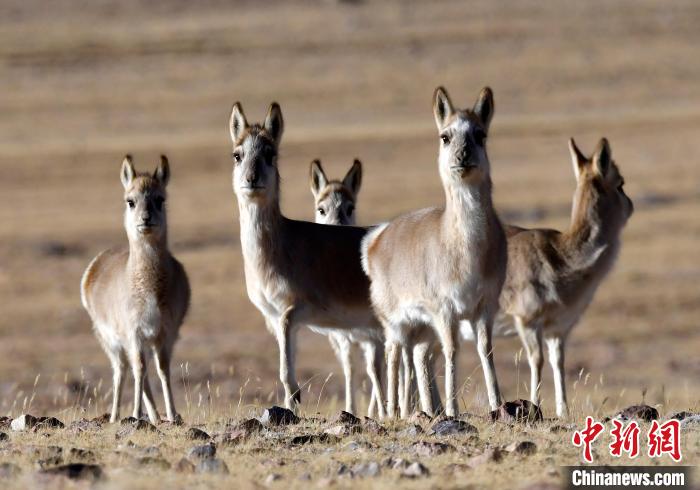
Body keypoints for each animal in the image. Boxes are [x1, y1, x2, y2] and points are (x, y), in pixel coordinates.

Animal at [81, 155, 190, 424]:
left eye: (160, 199)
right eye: (130, 201)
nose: (146, 219)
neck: (148, 288)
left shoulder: (165, 335)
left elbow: (162, 370)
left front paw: (172, 414)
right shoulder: (134, 333)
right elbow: (139, 370)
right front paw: (135, 414)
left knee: (139, 369)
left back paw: (155, 416)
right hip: (111, 342)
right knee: (122, 370)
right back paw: (115, 416)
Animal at [306, 159, 382, 416]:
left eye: (350, 208)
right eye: (321, 209)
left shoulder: (373, 336)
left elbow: (375, 371)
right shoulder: (343, 336)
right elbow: (350, 369)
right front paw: (350, 410)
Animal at [364, 86, 506, 416]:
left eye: (480, 134)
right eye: (445, 136)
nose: (462, 156)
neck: (466, 251)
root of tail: (377, 238)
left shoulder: (485, 308)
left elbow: (486, 350)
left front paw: (499, 405)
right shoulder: (446, 311)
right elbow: (454, 351)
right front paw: (453, 410)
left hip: (423, 329)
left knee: (418, 356)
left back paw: (427, 409)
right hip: (397, 323)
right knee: (393, 354)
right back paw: (394, 411)